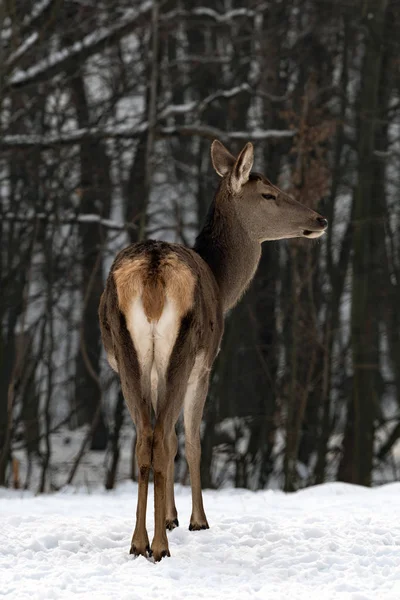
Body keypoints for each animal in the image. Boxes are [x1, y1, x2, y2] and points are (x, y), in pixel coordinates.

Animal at [98, 138, 326, 560]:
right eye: (269, 194)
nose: (320, 219)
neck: (223, 282)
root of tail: (153, 270)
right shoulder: (205, 365)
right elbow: (190, 442)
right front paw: (195, 521)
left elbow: (169, 440)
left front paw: (170, 517)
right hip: (186, 346)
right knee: (161, 437)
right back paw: (159, 546)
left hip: (127, 354)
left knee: (144, 438)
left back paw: (138, 542)